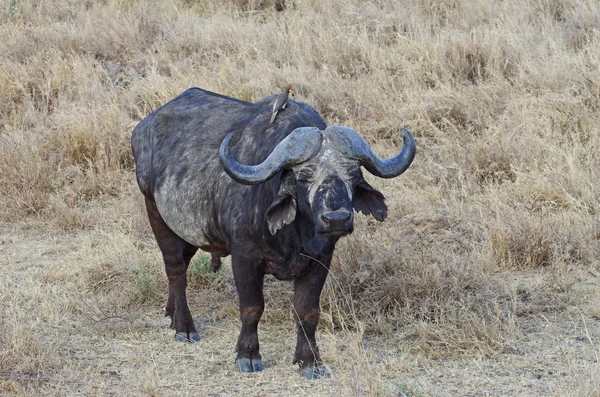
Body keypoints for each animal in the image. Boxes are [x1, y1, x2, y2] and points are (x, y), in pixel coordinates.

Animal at [132, 86, 414, 378]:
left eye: (353, 173)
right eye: (304, 176)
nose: (336, 219)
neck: (292, 237)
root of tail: (143, 128)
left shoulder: (320, 260)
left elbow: (308, 312)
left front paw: (310, 361)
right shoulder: (244, 257)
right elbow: (252, 308)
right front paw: (248, 355)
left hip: (187, 233)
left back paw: (171, 313)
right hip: (157, 215)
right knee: (176, 271)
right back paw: (184, 327)